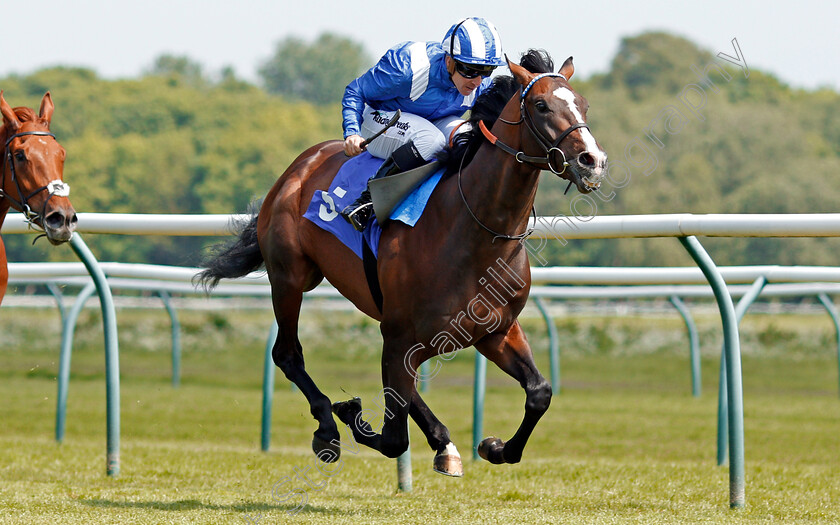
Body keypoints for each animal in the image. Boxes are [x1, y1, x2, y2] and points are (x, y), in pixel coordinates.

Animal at [199, 52, 604, 474]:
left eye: (583, 104)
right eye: (541, 105)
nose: (592, 161)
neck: (473, 232)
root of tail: (299, 166)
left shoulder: (495, 331)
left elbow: (539, 392)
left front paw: (494, 447)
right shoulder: (398, 336)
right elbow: (394, 437)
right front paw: (349, 413)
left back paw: (441, 442)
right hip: (290, 276)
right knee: (288, 354)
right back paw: (328, 426)